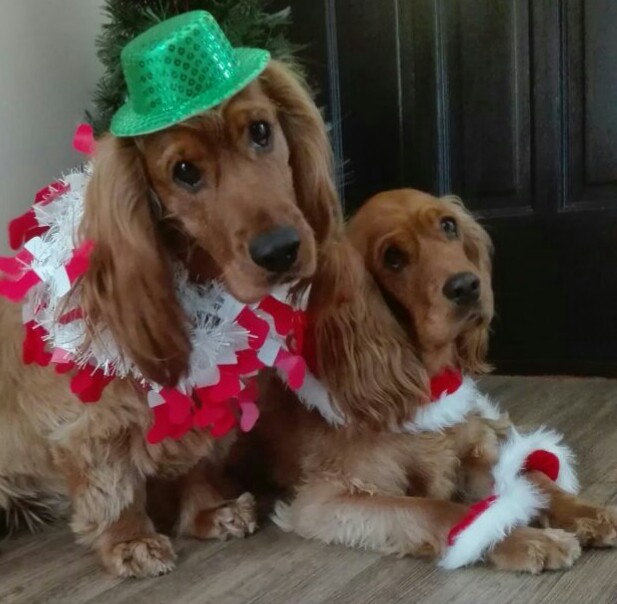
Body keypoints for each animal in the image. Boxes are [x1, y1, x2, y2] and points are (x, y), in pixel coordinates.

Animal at [0, 58, 341, 577]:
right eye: (184, 172)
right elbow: (111, 486)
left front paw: (209, 512)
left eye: (261, 131)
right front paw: (131, 540)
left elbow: (197, 461)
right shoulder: (95, 420)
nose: (281, 251)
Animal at [236, 188, 617, 573]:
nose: (466, 286)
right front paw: (526, 539)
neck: (427, 386)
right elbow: (438, 510)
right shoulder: (330, 497)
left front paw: (587, 512)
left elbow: (531, 479)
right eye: (392, 257)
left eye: (448, 225)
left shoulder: (470, 457)